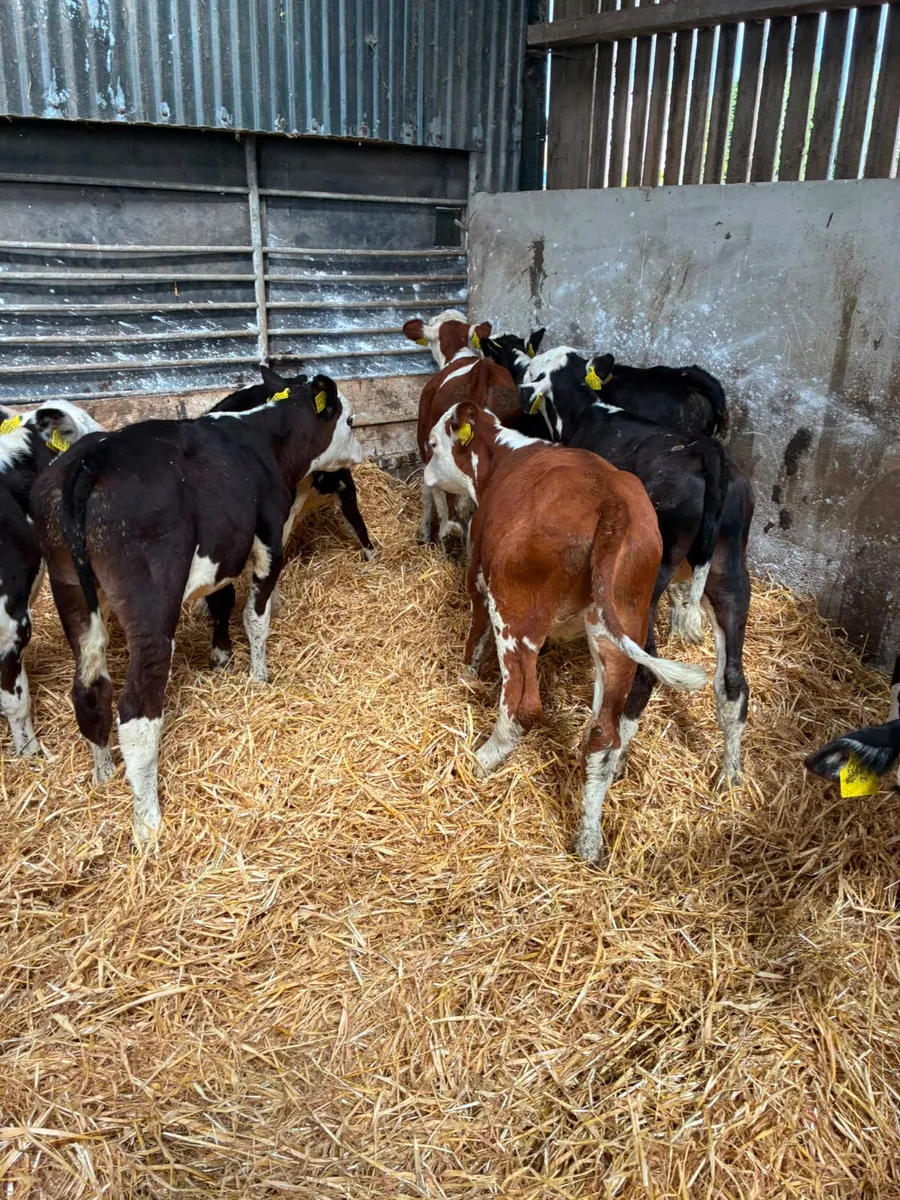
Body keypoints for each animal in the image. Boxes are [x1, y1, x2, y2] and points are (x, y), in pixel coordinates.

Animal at [32, 374, 363, 846]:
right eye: (350, 421)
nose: (362, 453)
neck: (264, 439)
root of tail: (93, 457)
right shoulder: (268, 540)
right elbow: (255, 618)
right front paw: (258, 677)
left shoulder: (222, 554)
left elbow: (221, 601)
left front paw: (221, 657)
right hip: (152, 607)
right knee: (137, 710)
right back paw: (147, 822)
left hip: (72, 593)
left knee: (89, 691)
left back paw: (104, 774)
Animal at [423, 400, 707, 863]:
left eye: (433, 444)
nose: (425, 470)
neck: (504, 458)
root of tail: (611, 502)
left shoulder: (477, 576)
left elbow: (474, 637)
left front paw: (464, 677)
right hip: (618, 630)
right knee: (603, 734)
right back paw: (589, 838)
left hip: (515, 614)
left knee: (524, 705)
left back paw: (482, 759)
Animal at [520, 347, 754, 787]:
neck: (587, 410)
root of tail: (706, 452)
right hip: (730, 573)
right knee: (732, 682)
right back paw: (730, 774)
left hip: (644, 581)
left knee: (643, 673)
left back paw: (615, 758)